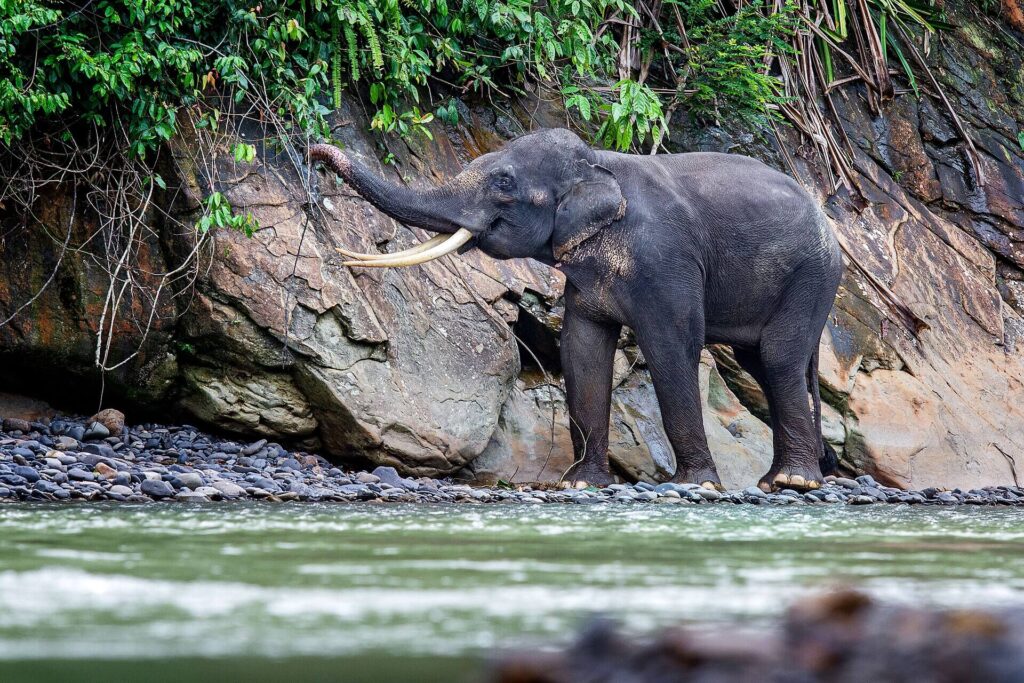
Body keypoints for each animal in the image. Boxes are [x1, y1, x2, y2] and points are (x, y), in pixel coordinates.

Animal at [310, 128, 842, 492]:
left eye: (504, 182)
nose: (316, 150)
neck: (598, 162)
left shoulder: (665, 260)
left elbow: (672, 347)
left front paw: (696, 485)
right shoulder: (585, 280)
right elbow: (582, 351)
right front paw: (582, 483)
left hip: (813, 278)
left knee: (778, 358)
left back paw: (793, 482)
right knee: (762, 362)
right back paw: (779, 480)